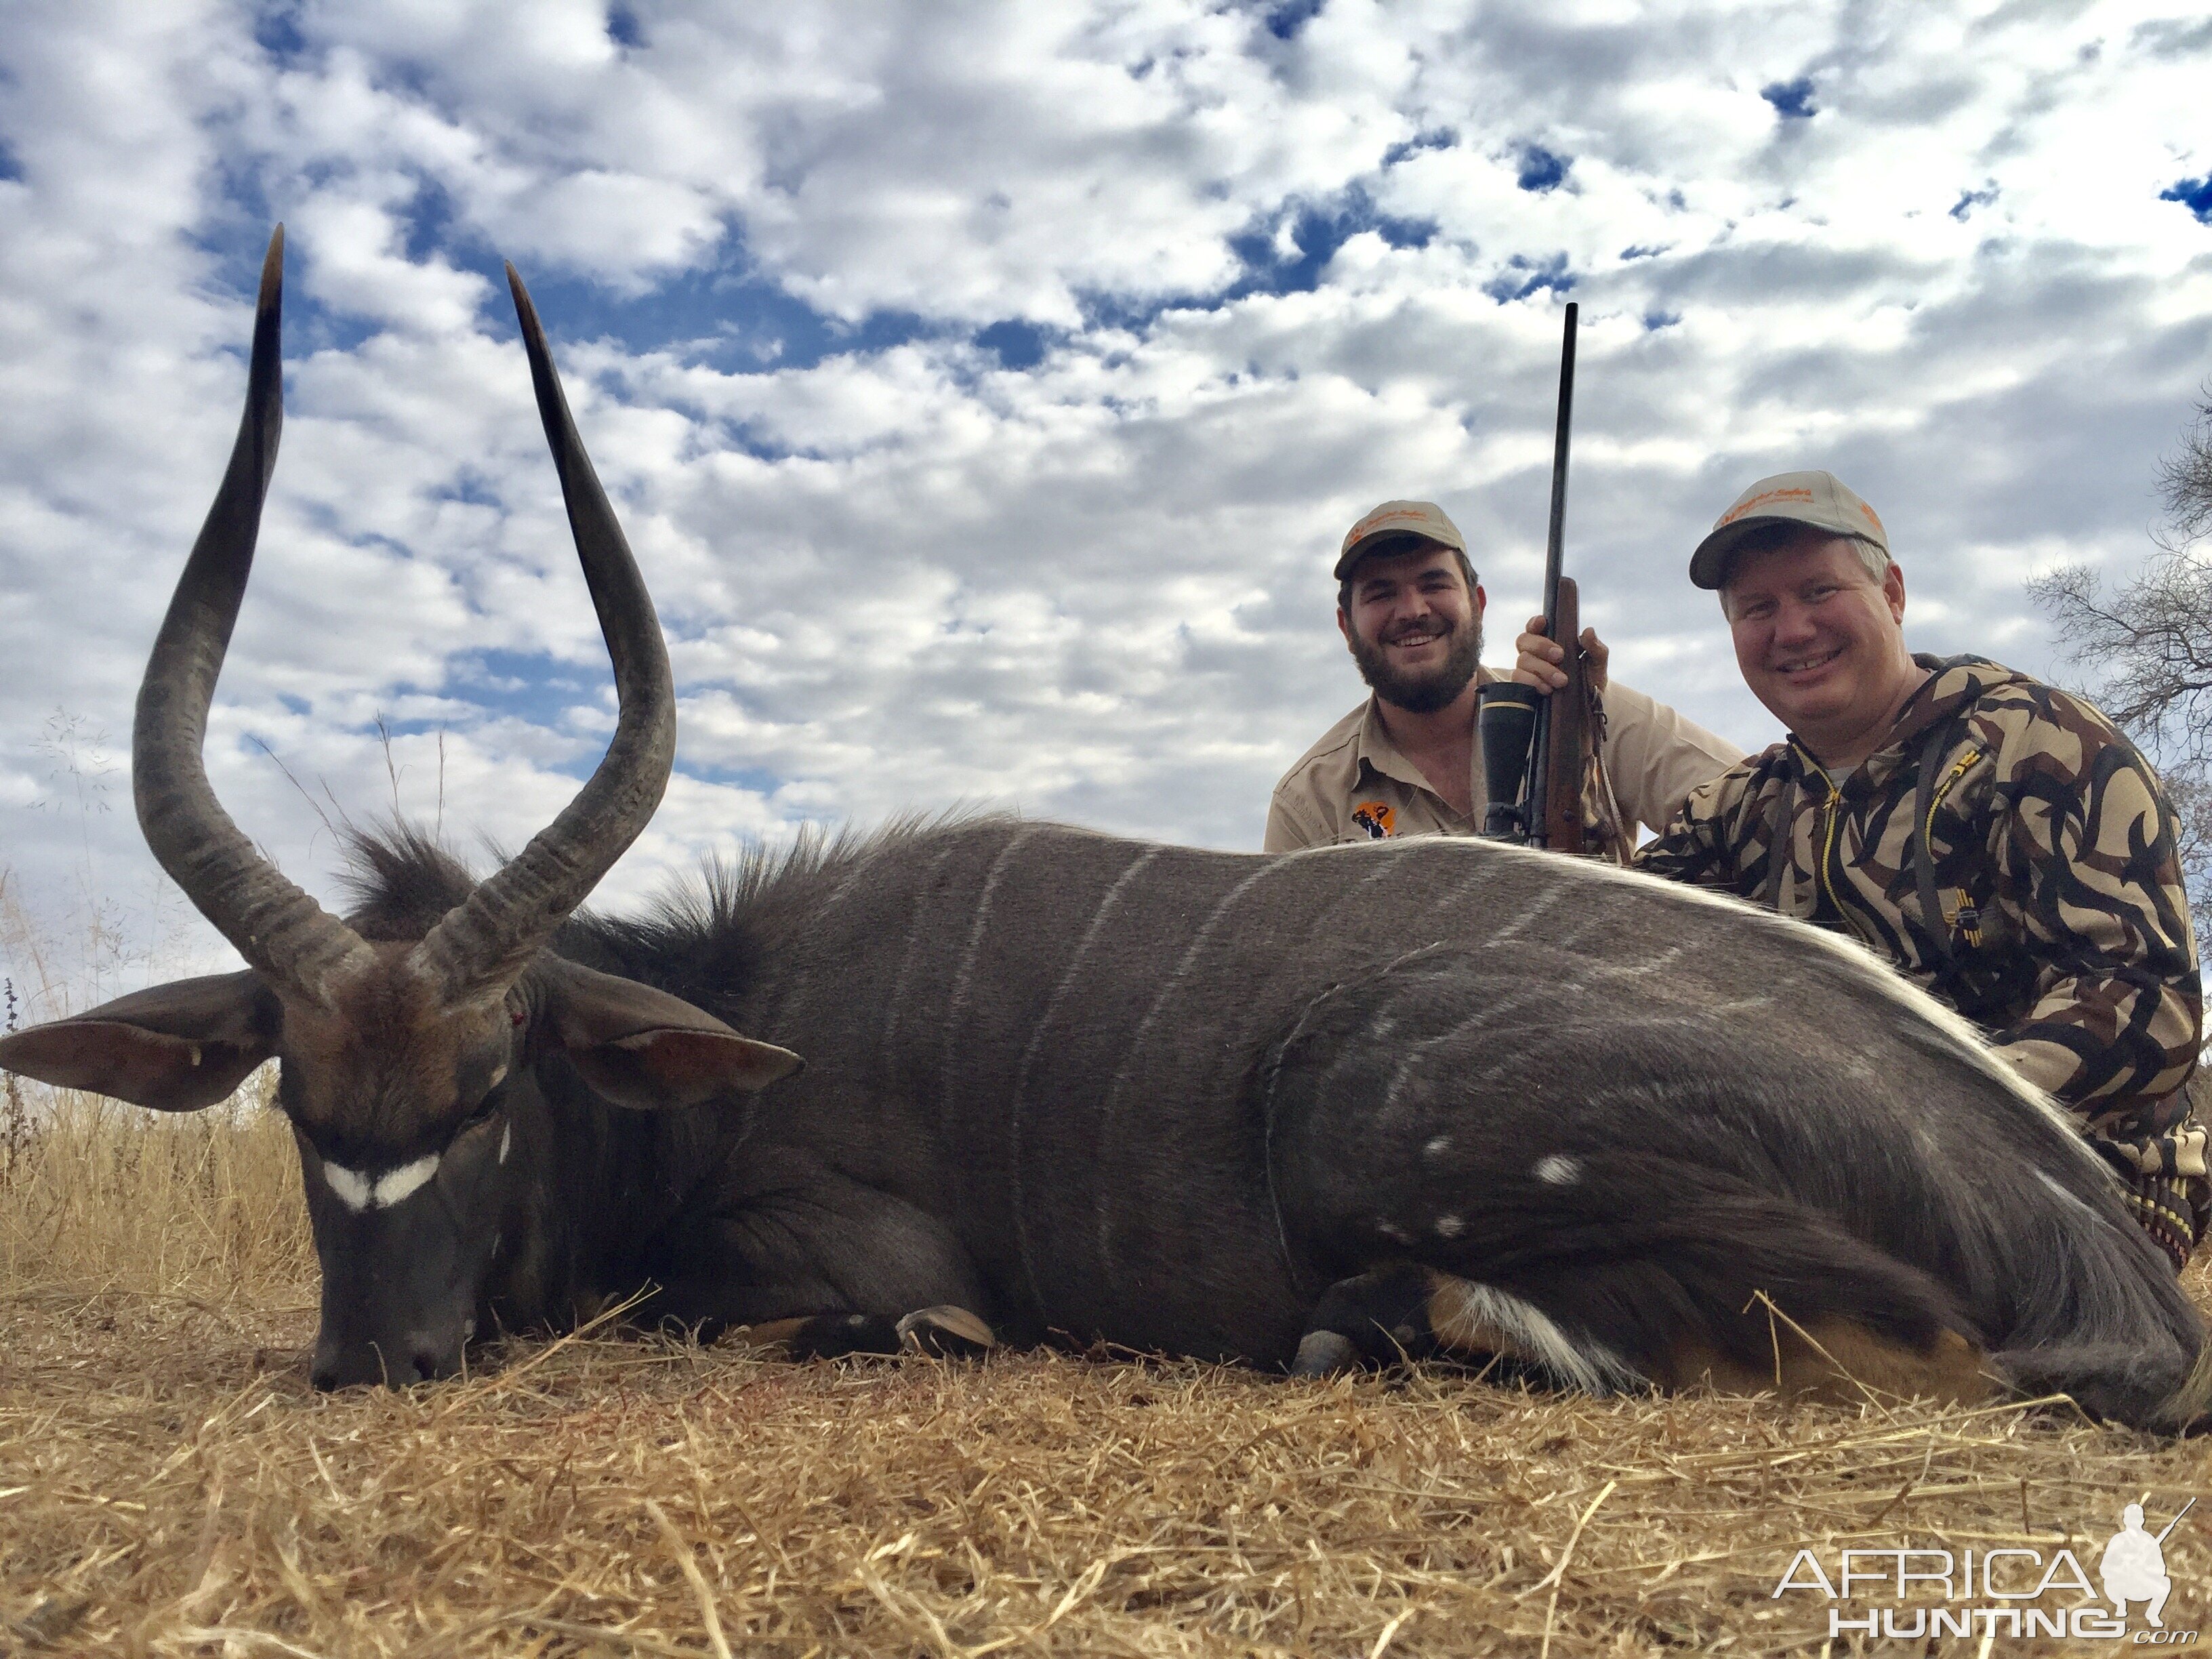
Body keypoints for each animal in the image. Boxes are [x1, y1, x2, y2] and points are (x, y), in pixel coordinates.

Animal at [4, 231, 2212, 1433]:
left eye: (489, 1094)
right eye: (297, 1104)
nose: (375, 1355)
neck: (726, 1032)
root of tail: (2081, 1238)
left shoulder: (859, 1259)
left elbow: (880, 1310)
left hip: (1383, 1112)